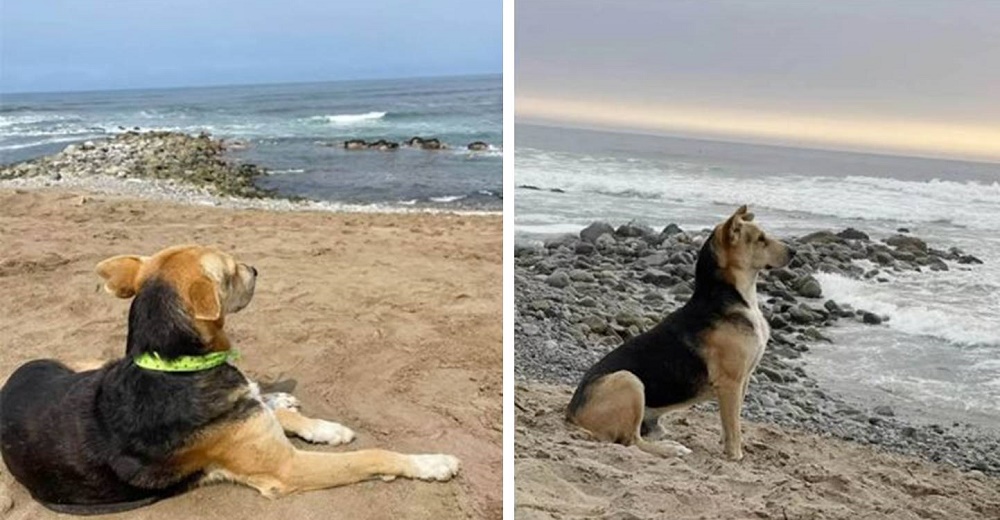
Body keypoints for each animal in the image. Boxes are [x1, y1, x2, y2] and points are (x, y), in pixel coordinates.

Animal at [0, 246, 460, 512]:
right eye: (230, 271)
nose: (256, 269)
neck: (176, 364)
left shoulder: (246, 414)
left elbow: (276, 412)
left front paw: (325, 427)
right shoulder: (287, 469)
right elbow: (372, 456)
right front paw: (432, 463)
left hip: (88, 366)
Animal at [572, 206, 796, 460]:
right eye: (760, 239)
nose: (794, 252)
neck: (732, 297)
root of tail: (572, 412)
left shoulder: (742, 381)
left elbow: (730, 422)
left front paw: (726, 444)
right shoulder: (731, 383)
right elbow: (734, 426)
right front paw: (735, 455)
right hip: (629, 380)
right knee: (631, 441)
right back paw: (671, 448)